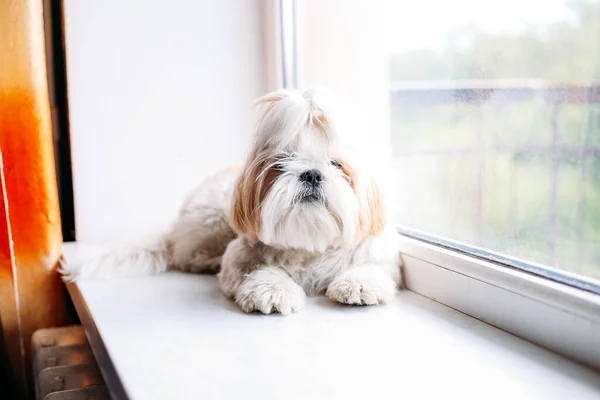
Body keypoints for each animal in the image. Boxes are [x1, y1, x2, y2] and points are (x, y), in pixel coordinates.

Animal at [64, 89, 404, 314]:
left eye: (336, 165)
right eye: (280, 163)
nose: (311, 174)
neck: (309, 244)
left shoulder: (376, 253)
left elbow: (373, 267)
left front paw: (359, 284)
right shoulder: (239, 258)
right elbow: (256, 272)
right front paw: (273, 289)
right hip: (210, 222)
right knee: (185, 256)